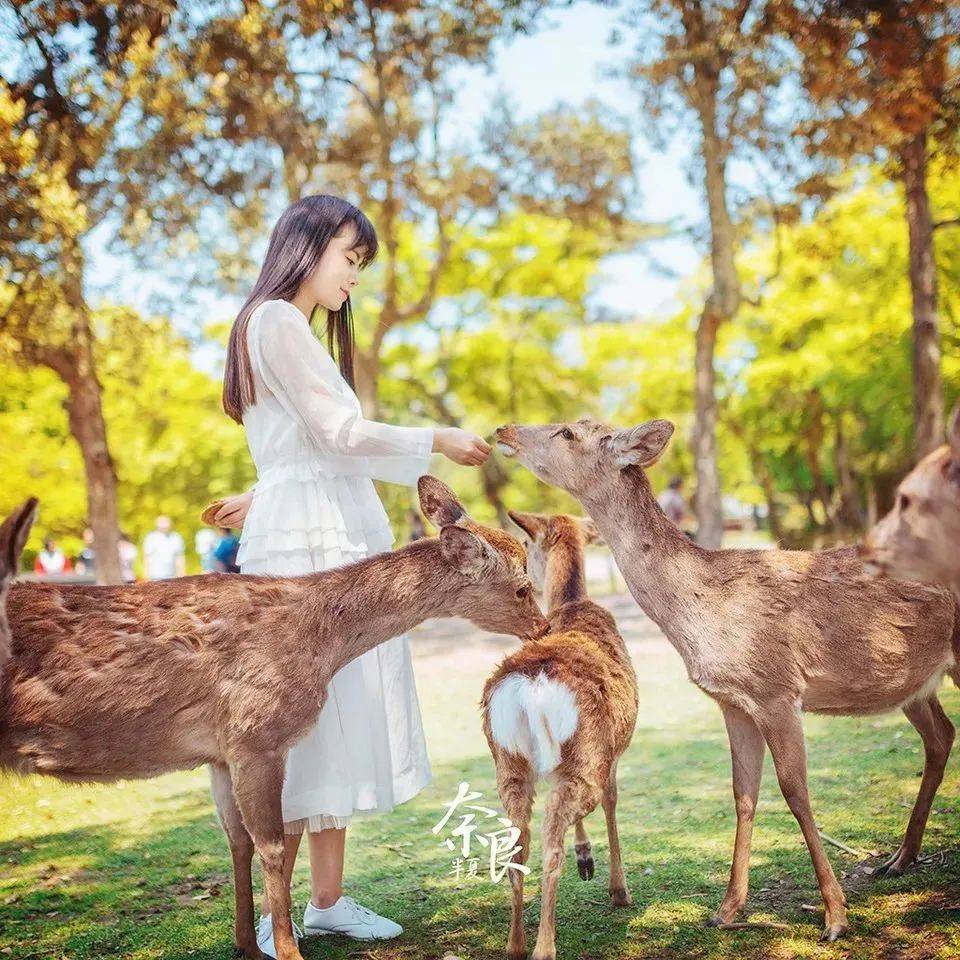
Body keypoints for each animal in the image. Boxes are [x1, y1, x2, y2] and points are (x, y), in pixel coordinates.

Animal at [1, 478, 548, 960]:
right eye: (523, 587)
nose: (543, 627)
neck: (319, 641)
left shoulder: (220, 753)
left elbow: (238, 843)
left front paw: (245, 942)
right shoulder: (256, 735)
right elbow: (273, 846)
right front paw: (286, 949)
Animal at [480, 512, 636, 960]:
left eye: (526, 543)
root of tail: (532, 686)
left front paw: (589, 859)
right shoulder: (610, 753)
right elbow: (613, 802)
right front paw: (616, 887)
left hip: (508, 764)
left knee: (519, 846)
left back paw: (514, 945)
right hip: (583, 757)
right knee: (553, 841)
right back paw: (544, 947)